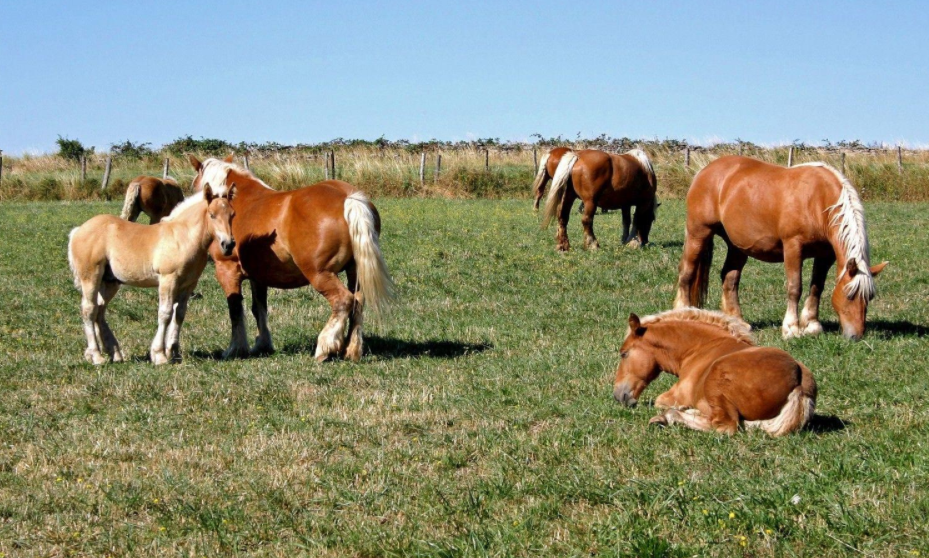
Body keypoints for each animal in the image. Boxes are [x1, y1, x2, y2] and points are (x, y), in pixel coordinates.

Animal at [68, 184, 236, 365]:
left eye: (232, 214)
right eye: (212, 215)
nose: (228, 244)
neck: (182, 237)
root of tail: (78, 231)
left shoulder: (188, 284)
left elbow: (179, 314)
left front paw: (174, 352)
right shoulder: (168, 280)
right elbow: (165, 313)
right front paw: (159, 355)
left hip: (110, 282)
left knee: (100, 310)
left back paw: (114, 352)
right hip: (90, 277)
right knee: (89, 310)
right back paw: (96, 355)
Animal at [187, 154, 396, 362]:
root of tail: (348, 197)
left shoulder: (227, 270)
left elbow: (235, 309)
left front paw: (235, 349)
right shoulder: (258, 276)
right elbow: (258, 308)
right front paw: (262, 344)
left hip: (320, 274)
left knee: (343, 301)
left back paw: (324, 347)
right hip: (355, 271)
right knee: (358, 303)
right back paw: (351, 351)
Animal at [613, 308, 817, 436]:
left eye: (624, 353)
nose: (617, 395)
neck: (700, 348)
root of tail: (798, 380)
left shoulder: (674, 395)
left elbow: (660, 402)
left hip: (716, 382)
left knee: (725, 426)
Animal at [673, 156, 889, 340]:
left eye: (869, 297)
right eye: (849, 295)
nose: (856, 336)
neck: (817, 200)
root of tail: (704, 171)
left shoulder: (825, 255)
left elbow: (816, 287)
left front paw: (812, 325)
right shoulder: (793, 247)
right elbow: (795, 287)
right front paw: (791, 328)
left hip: (737, 246)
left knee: (729, 278)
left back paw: (738, 321)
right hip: (698, 233)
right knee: (687, 273)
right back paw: (682, 313)